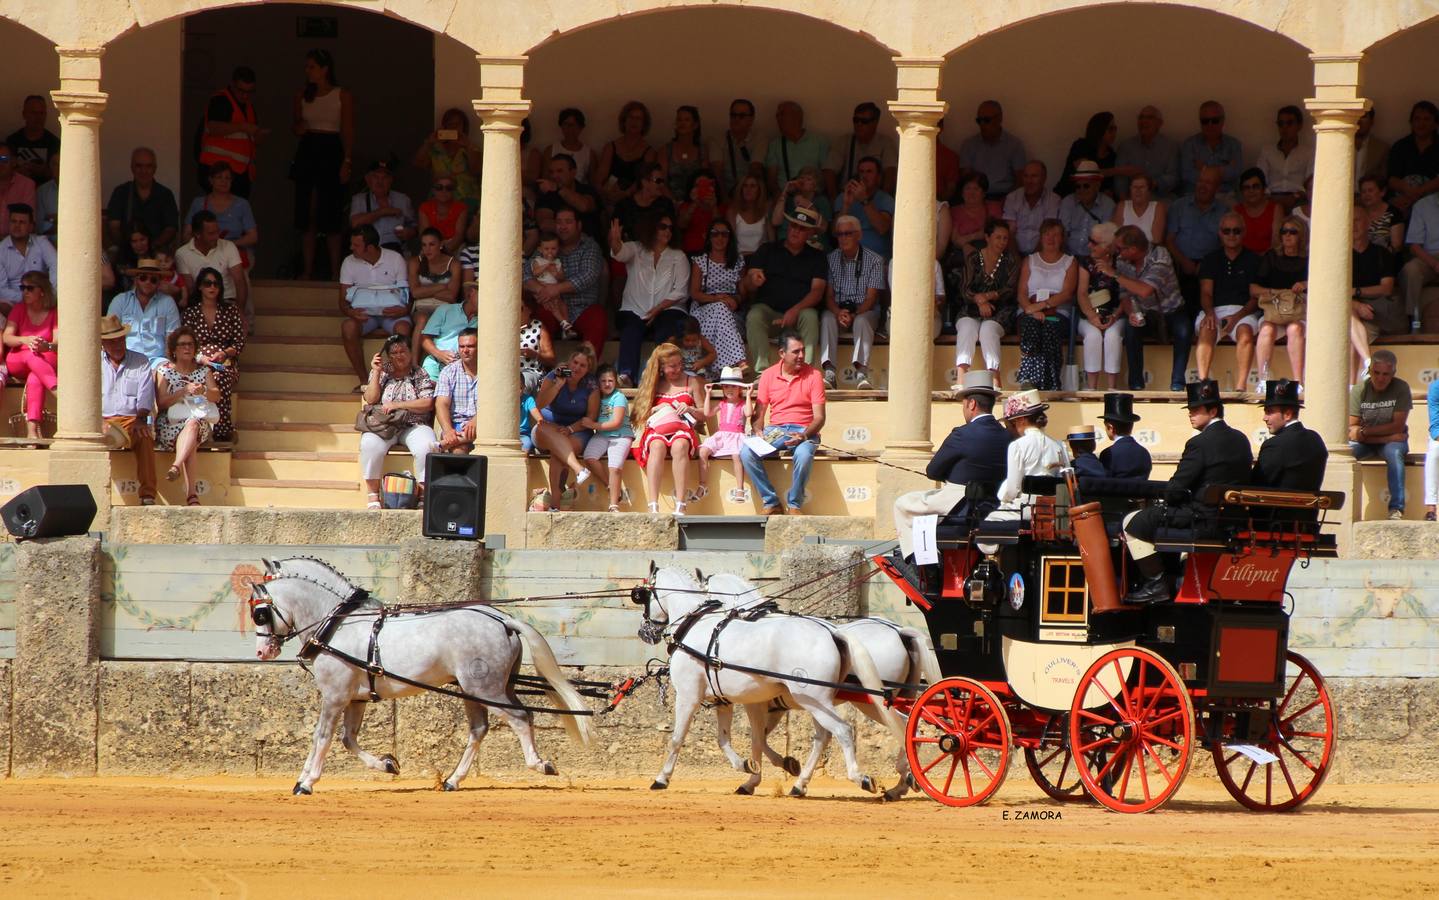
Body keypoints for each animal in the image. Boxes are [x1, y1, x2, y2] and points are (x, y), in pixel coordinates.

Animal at [251, 555, 589, 794]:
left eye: (260, 612)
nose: (262, 652)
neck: (339, 623)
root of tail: (503, 620)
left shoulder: (335, 696)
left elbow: (322, 736)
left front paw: (306, 782)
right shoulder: (356, 699)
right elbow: (347, 738)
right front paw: (388, 764)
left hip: (486, 689)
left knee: (520, 718)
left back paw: (540, 764)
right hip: (478, 689)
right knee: (480, 729)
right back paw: (453, 779)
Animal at [641, 564, 897, 794]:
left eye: (643, 596)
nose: (644, 632)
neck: (697, 625)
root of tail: (832, 631)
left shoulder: (688, 696)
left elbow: (677, 738)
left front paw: (661, 778)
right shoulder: (727, 701)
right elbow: (730, 739)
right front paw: (750, 768)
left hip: (816, 701)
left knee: (842, 730)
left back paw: (862, 778)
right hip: (826, 703)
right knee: (832, 734)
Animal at [705, 573, 943, 794]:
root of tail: (899, 631)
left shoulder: (759, 703)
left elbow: (758, 738)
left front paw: (761, 774)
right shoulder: (779, 707)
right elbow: (763, 737)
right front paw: (773, 770)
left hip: (864, 702)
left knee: (899, 726)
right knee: (905, 725)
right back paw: (901, 783)